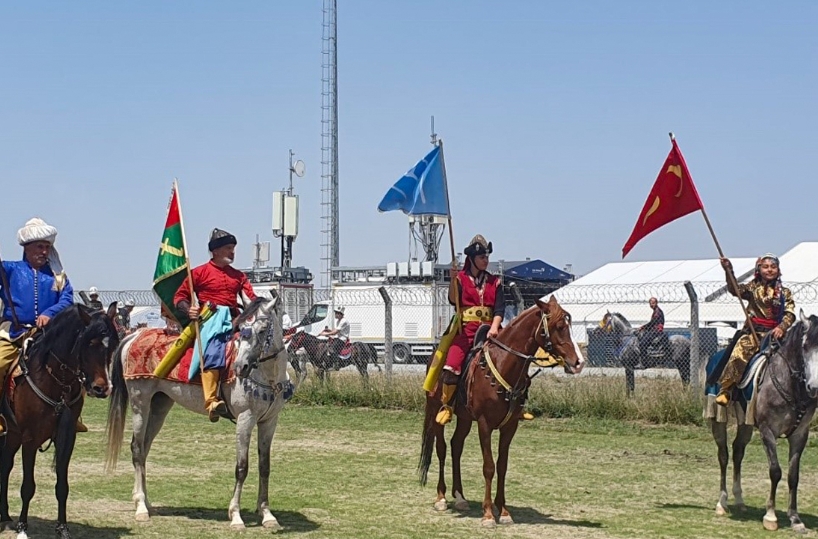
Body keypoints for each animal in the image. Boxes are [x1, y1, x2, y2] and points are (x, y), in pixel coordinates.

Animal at [0, 304, 119, 539]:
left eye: (112, 345)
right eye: (89, 343)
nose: (101, 388)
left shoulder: (66, 438)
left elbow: (62, 486)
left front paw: (62, 528)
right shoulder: (30, 438)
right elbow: (28, 486)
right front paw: (22, 528)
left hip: (12, 434)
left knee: (5, 465)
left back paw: (5, 515)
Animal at [418, 296, 584, 528]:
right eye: (560, 326)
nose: (579, 362)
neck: (504, 363)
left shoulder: (510, 426)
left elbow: (502, 466)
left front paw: (503, 511)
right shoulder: (485, 424)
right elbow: (489, 466)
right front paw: (488, 514)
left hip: (465, 418)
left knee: (456, 446)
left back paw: (459, 497)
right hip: (436, 410)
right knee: (441, 448)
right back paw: (441, 497)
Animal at [700, 310, 816, 532]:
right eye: (805, 346)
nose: (814, 387)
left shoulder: (800, 434)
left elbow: (793, 475)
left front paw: (795, 518)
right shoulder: (767, 431)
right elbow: (775, 471)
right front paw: (770, 516)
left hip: (745, 422)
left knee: (738, 452)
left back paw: (739, 500)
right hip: (717, 417)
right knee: (723, 455)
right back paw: (722, 502)